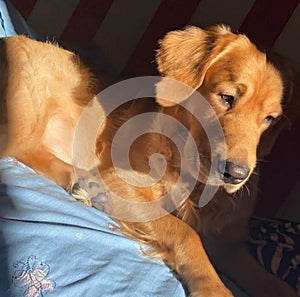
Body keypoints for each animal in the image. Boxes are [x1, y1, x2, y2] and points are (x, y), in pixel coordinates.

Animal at [0, 25, 298, 296]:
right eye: (227, 97)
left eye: (270, 118)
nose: (236, 174)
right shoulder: (121, 181)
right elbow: (186, 233)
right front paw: (214, 288)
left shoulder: (228, 245)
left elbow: (273, 282)